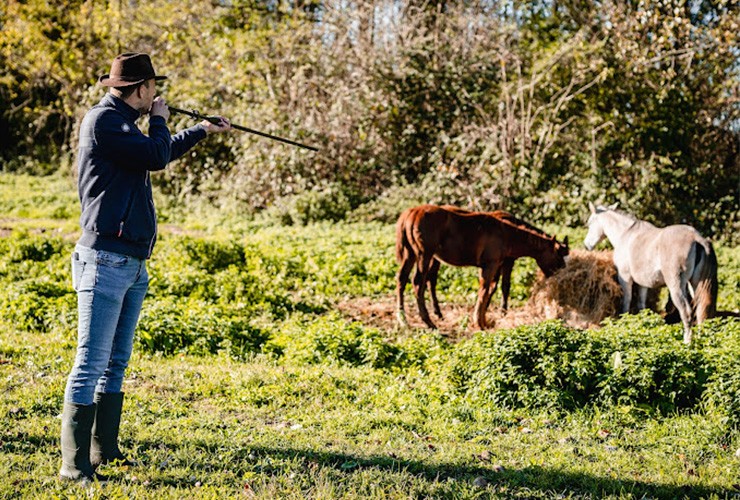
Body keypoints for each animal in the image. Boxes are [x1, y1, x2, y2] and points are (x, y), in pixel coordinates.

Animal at [396, 205, 568, 330]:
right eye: (558, 256)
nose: (562, 273)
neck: (506, 233)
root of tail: (411, 213)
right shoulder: (491, 265)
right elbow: (486, 291)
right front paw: (480, 322)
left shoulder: (496, 265)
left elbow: (489, 291)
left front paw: (484, 320)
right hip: (424, 256)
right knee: (418, 283)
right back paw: (428, 321)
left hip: (411, 255)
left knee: (402, 279)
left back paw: (403, 318)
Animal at [584, 203, 716, 344]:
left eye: (590, 222)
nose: (587, 245)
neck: (626, 234)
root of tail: (696, 238)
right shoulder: (643, 284)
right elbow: (642, 305)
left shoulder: (625, 278)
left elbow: (626, 302)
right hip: (695, 284)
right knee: (701, 310)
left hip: (677, 286)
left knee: (686, 312)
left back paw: (687, 341)